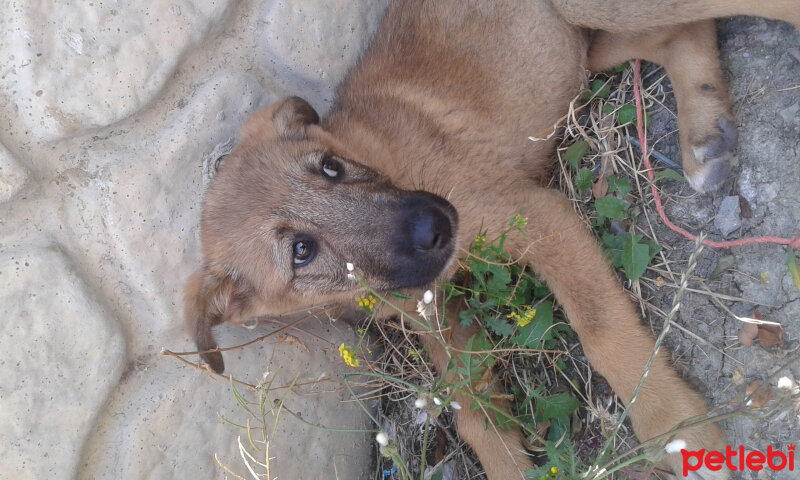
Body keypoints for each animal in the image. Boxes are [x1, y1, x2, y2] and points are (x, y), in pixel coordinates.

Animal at [183, 1, 800, 478]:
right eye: (301, 252)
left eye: (331, 168)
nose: (436, 225)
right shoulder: (442, 320)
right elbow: (476, 414)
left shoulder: (539, 216)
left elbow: (603, 333)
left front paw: (678, 430)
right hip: (586, 46)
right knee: (683, 31)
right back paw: (706, 135)